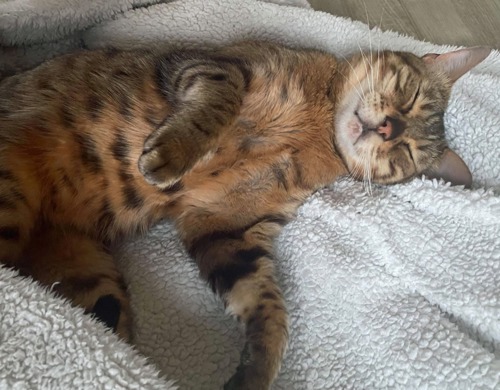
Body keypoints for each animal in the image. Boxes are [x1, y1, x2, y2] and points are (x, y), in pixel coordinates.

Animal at [0, 41, 488, 388]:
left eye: (406, 154)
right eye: (410, 96)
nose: (388, 128)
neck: (319, 130)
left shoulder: (226, 225)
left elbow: (267, 303)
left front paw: (258, 368)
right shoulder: (220, 65)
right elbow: (218, 103)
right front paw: (171, 155)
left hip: (91, 277)